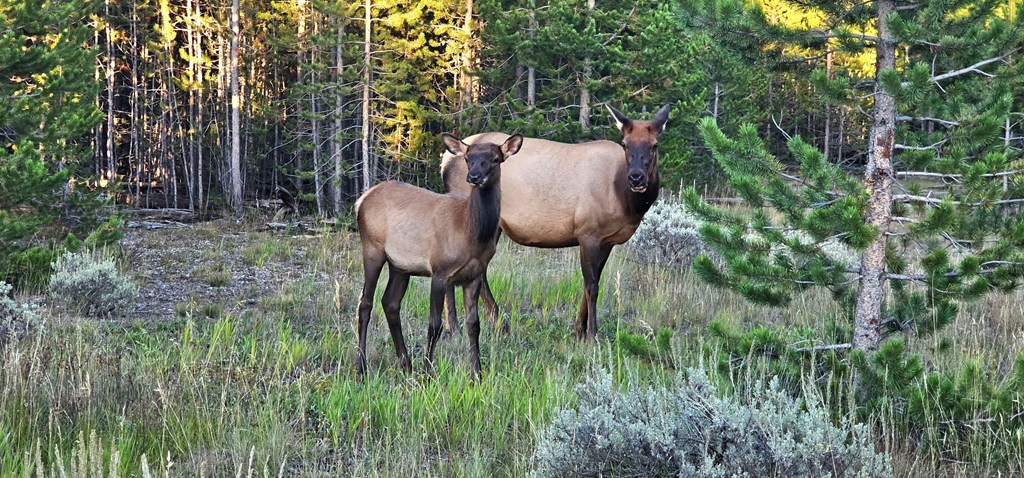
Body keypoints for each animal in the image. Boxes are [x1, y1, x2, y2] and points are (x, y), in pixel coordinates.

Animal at [354, 133, 524, 378]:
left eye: (495, 159)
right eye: (468, 158)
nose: (473, 177)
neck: (470, 231)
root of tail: (361, 200)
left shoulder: (474, 275)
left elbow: (474, 325)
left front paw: (477, 373)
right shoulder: (439, 270)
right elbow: (434, 325)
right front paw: (427, 373)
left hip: (400, 265)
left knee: (390, 302)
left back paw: (406, 364)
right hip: (371, 249)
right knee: (365, 303)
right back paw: (361, 368)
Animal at [440, 104, 671, 342]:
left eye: (655, 144)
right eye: (625, 143)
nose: (636, 177)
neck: (624, 198)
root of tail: (445, 160)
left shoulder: (607, 240)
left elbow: (591, 283)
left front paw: (578, 331)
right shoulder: (588, 232)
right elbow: (592, 287)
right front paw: (591, 336)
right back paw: (467, 327)